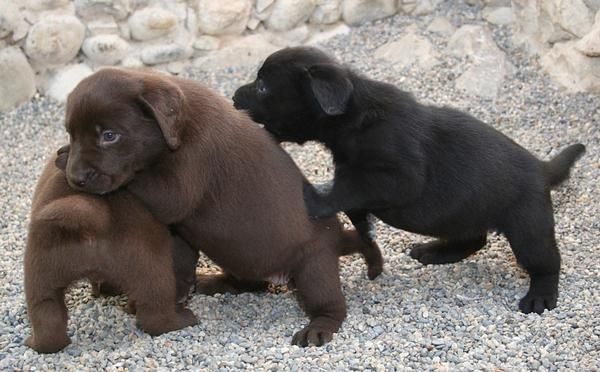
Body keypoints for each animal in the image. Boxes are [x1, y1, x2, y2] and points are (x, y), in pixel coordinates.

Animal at [24, 147, 198, 352]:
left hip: (41, 273)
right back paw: (185, 319)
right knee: (155, 313)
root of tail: (97, 214)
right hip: (151, 265)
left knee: (47, 317)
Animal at [59, 68, 380, 348]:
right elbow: (179, 262)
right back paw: (213, 282)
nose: (76, 177)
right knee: (249, 283)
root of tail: (335, 236)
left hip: (314, 267)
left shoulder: (180, 183)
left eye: (109, 135)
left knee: (331, 305)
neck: (180, 128)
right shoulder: (180, 232)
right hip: (241, 256)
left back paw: (318, 328)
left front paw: (62, 159)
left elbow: (144, 180)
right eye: (71, 133)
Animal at [232, 45, 584, 314]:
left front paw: (316, 199)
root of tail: (542, 168)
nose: (234, 96)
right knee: (475, 240)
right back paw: (436, 252)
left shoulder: (398, 177)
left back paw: (540, 296)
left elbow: (348, 189)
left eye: (262, 86)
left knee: (546, 261)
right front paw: (368, 244)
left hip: (528, 228)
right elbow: (355, 208)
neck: (353, 117)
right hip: (463, 215)